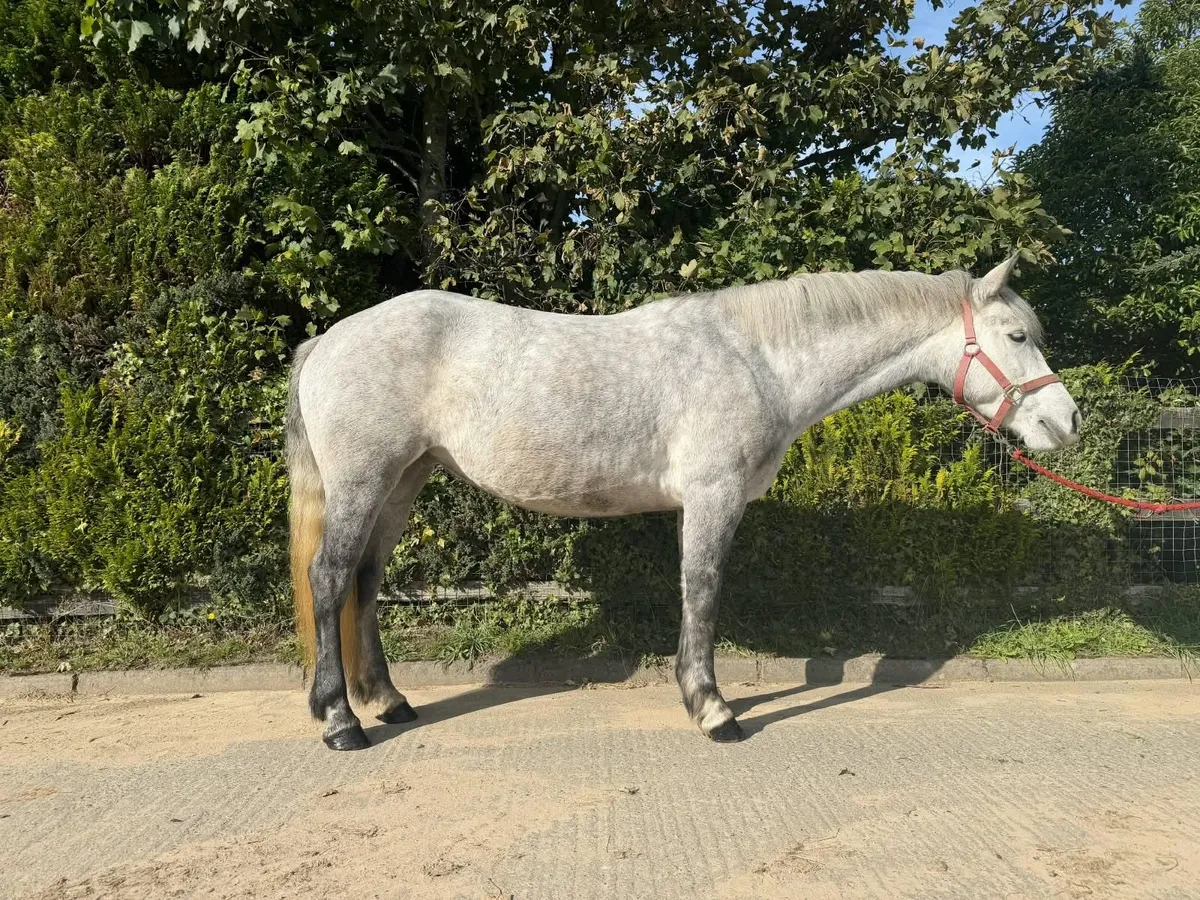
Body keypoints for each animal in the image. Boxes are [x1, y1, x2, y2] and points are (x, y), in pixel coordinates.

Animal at [287, 256, 1081, 750]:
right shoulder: (712, 498)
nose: (1066, 421)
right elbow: (703, 592)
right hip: (363, 480)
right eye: (1017, 335)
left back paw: (388, 701)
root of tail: (327, 340)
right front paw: (713, 708)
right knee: (330, 579)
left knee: (366, 581)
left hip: (404, 480)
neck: (758, 361)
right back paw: (341, 722)